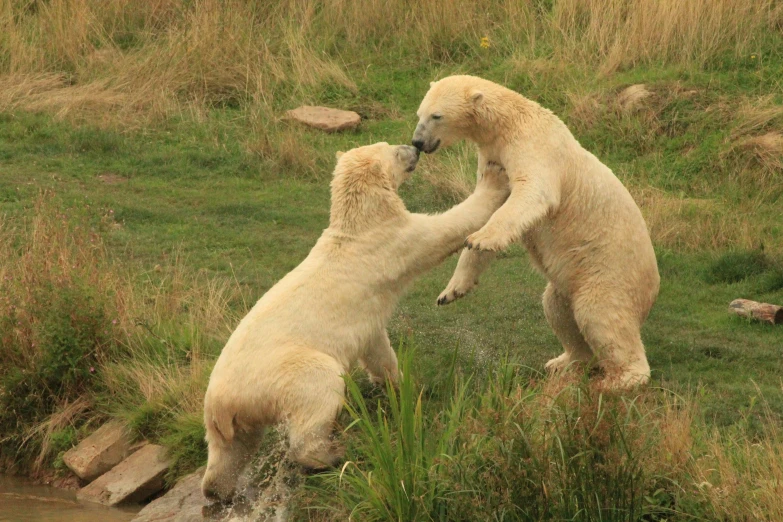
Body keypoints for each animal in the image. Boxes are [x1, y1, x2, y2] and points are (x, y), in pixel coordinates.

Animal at [199, 140, 512, 498]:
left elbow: (377, 347)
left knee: (230, 452)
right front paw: (495, 178)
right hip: (284, 373)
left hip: (232, 419)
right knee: (317, 392)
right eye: (392, 149)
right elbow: (446, 227)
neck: (361, 223)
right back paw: (329, 454)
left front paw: (398, 383)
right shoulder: (395, 240)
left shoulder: (369, 315)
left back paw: (216, 489)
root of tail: (221, 404)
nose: (413, 147)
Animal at [410, 75, 660, 388]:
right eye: (419, 114)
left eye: (437, 116)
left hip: (608, 274)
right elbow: (489, 205)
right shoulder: (494, 155)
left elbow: (534, 192)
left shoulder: (533, 146)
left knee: (600, 316)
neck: (509, 123)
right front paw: (451, 291)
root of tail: (651, 293)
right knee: (557, 310)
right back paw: (564, 362)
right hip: (571, 281)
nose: (417, 142)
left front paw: (480, 239)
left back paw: (619, 379)